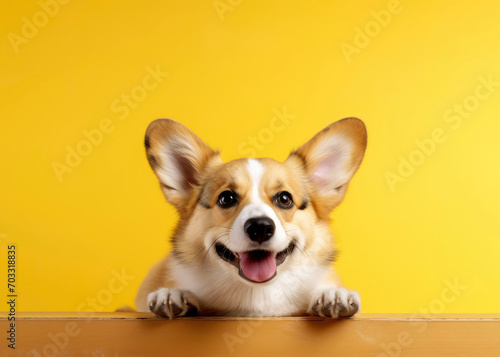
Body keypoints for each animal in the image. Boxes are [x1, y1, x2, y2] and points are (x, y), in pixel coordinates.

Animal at [135, 117, 366, 318]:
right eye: (226, 198)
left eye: (285, 199)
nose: (260, 228)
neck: (257, 294)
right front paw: (173, 294)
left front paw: (333, 294)